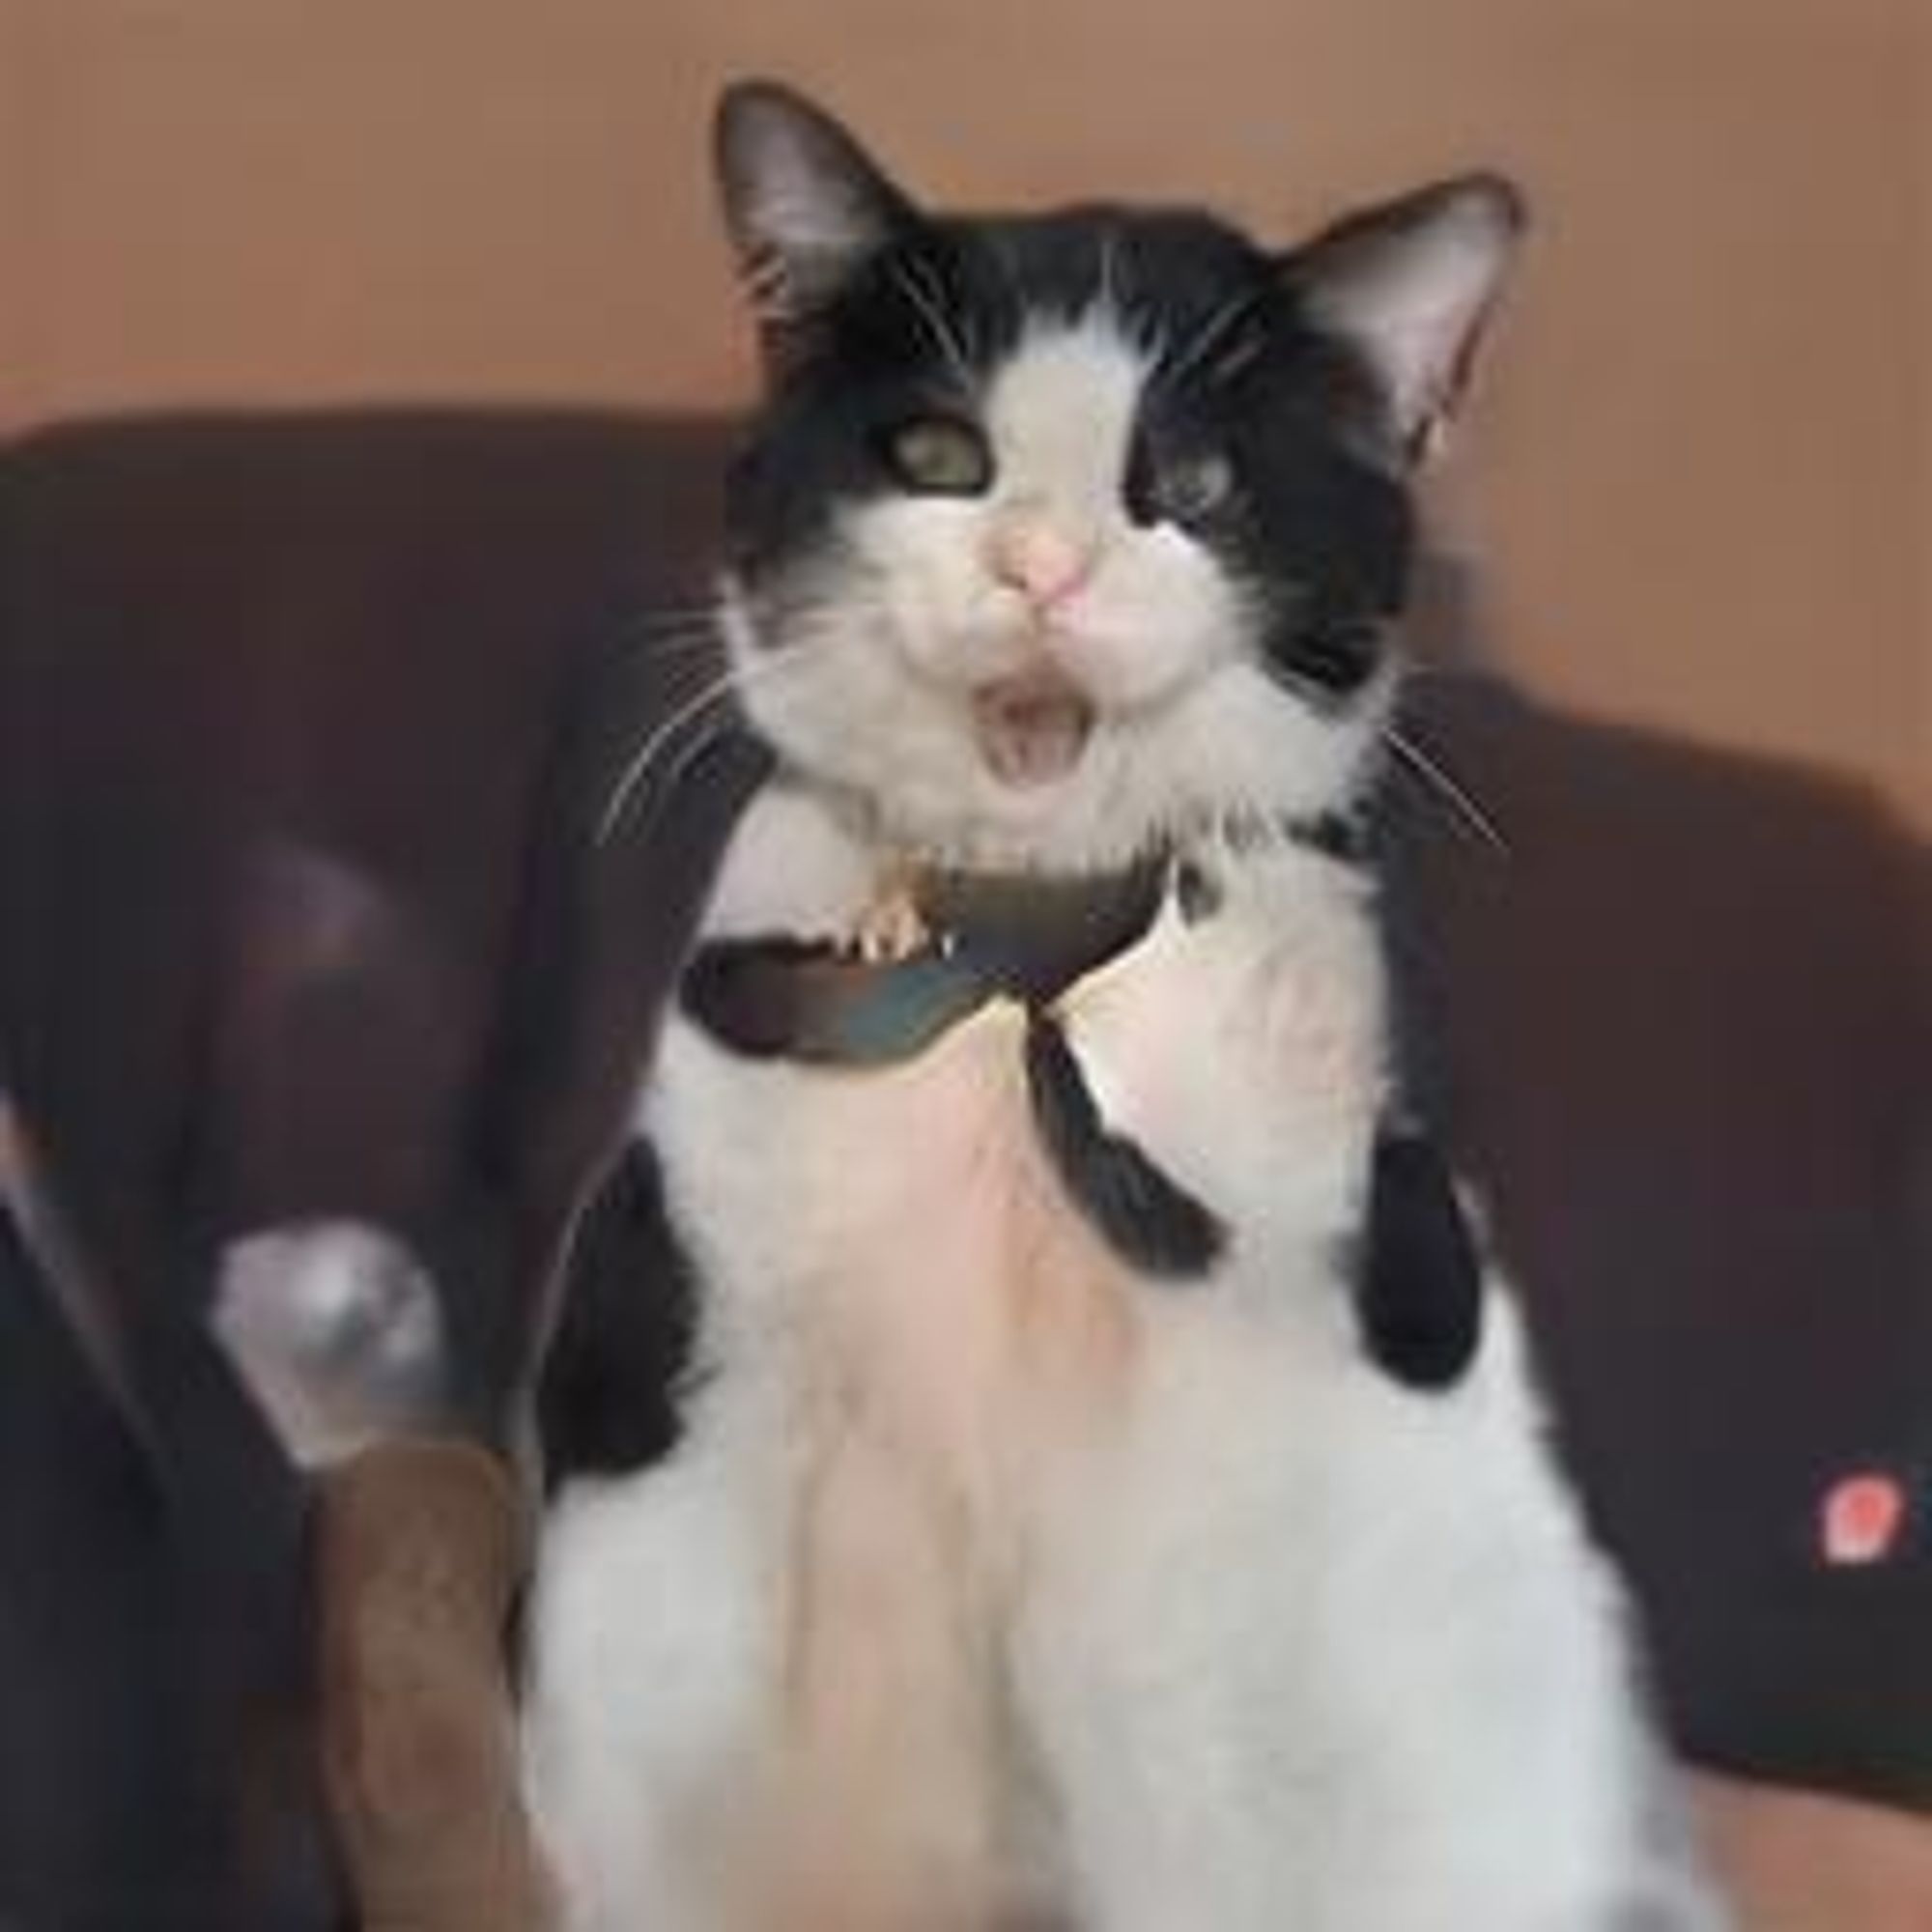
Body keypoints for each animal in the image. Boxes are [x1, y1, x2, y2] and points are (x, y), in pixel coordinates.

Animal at [522, 79, 1731, 1932]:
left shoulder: (1224, 1512)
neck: (1021, 964)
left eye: (1194, 484)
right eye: (937, 457)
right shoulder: (682, 1446)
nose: (1039, 567)